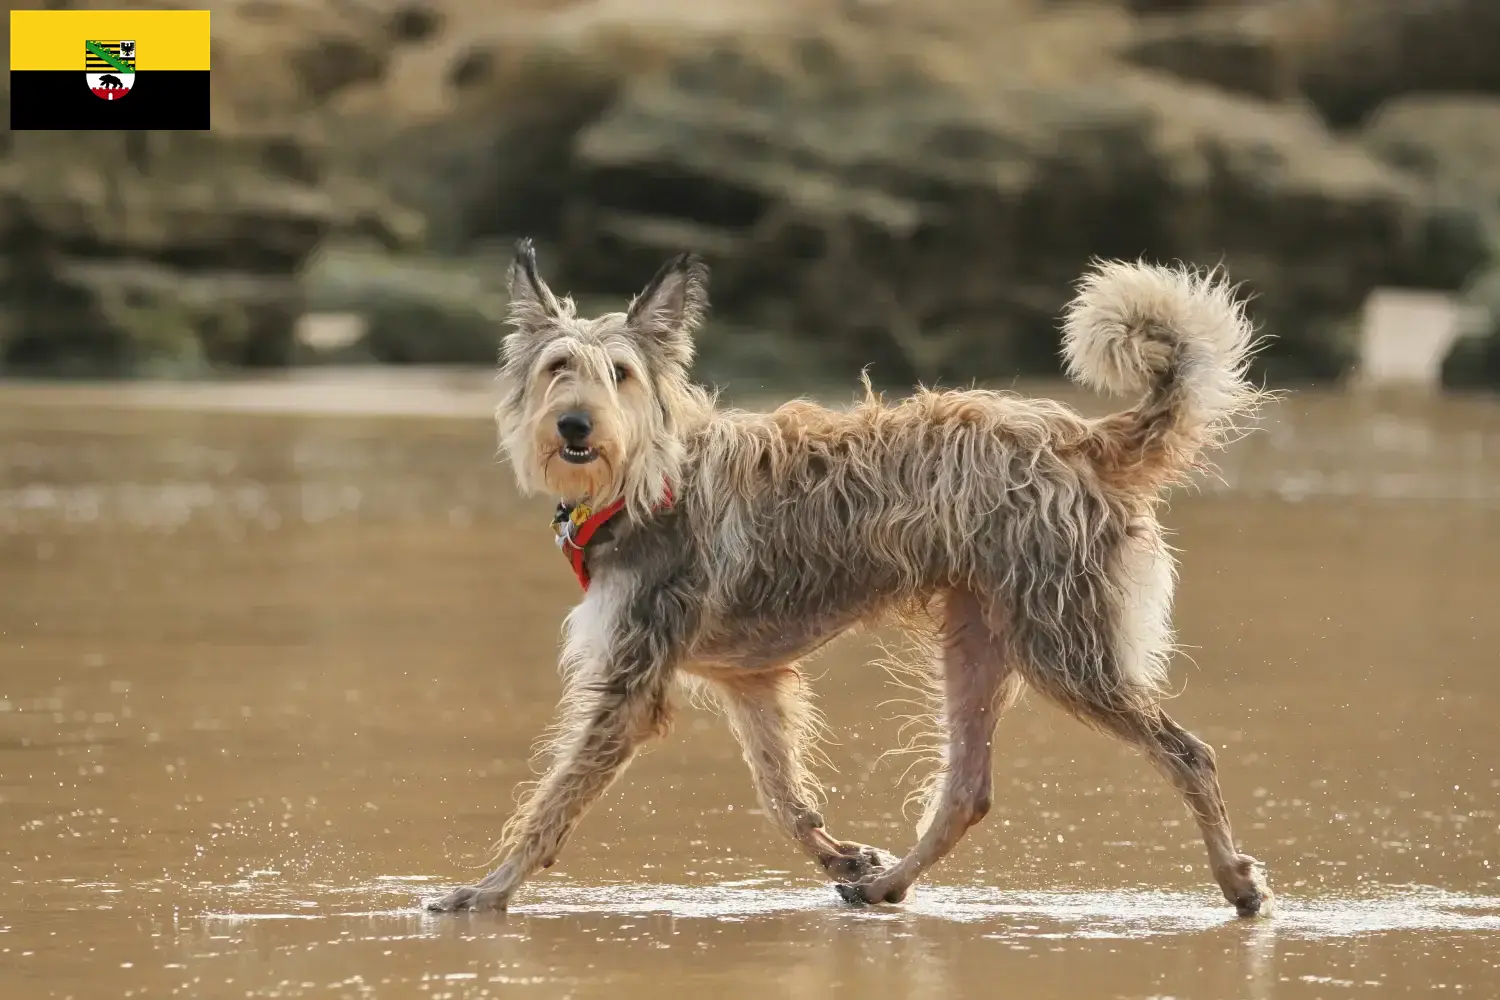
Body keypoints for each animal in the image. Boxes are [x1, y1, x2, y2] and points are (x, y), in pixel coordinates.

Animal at [429, 239, 1272, 917]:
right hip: (977, 641)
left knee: (1188, 754)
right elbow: (780, 793)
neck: (647, 474)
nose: (574, 426)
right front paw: (840, 855)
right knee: (966, 790)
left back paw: (1237, 882)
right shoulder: (752, 681)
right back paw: (886, 884)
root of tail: (1083, 439)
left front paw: (488, 890)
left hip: (1065, 646)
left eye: (622, 375)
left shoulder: (632, 685)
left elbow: (554, 798)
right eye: (557, 369)